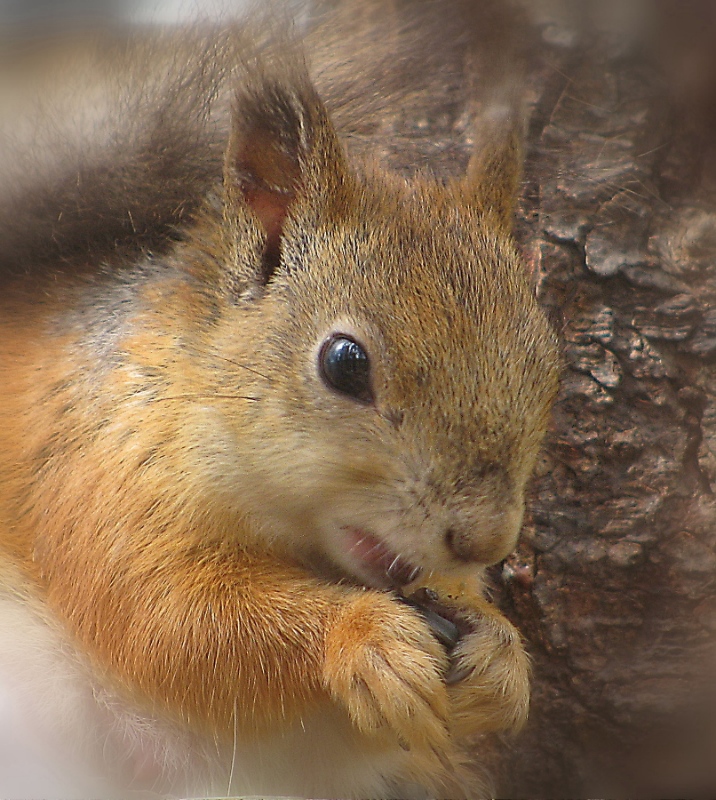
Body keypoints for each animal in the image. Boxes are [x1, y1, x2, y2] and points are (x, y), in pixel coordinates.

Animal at [0, 3, 560, 796]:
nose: (483, 541)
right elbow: (167, 618)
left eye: (549, 363)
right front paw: (363, 635)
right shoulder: (99, 480)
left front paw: (501, 659)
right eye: (344, 364)